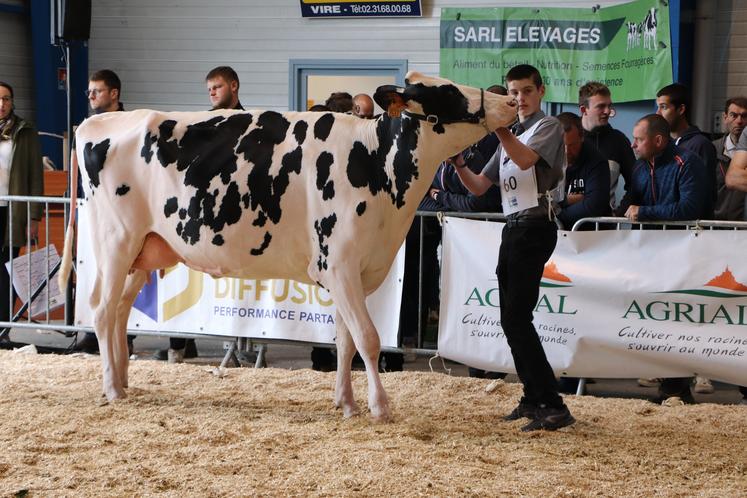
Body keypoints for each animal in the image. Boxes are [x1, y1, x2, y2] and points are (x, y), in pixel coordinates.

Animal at [58, 71, 516, 420]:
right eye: (449, 92)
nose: (510, 101)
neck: (375, 162)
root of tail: (95, 124)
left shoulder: (357, 270)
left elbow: (345, 340)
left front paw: (346, 403)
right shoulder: (339, 264)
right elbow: (367, 338)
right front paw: (380, 407)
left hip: (145, 251)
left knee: (120, 311)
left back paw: (122, 382)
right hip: (115, 242)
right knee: (101, 310)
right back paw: (111, 389)